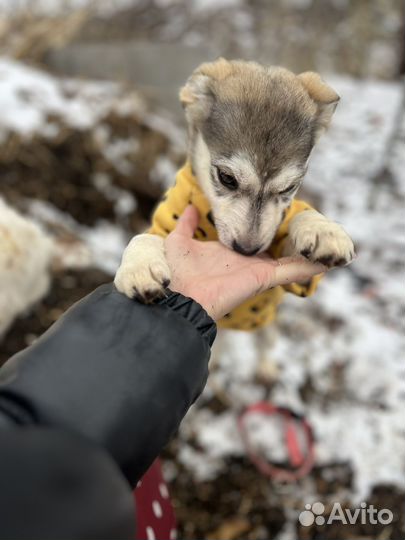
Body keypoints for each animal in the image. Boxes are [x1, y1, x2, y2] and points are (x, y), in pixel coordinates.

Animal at [113, 58, 354, 330]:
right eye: (227, 178)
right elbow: (142, 237)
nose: (246, 250)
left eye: (288, 188)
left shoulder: (289, 264)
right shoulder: (165, 225)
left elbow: (300, 222)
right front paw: (139, 267)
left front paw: (323, 229)